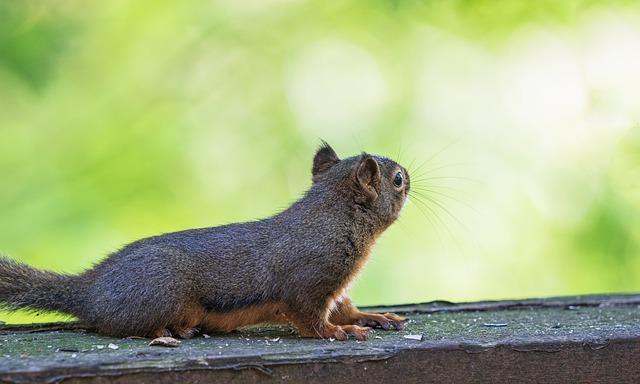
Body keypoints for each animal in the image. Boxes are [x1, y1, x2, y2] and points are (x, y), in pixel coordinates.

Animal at [0, 142, 410, 340]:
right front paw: (341, 332)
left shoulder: (336, 288)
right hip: (162, 292)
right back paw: (169, 331)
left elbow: (344, 307)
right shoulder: (310, 278)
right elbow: (311, 318)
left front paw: (374, 317)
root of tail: (91, 291)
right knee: (121, 326)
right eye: (398, 179)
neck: (333, 219)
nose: (410, 177)